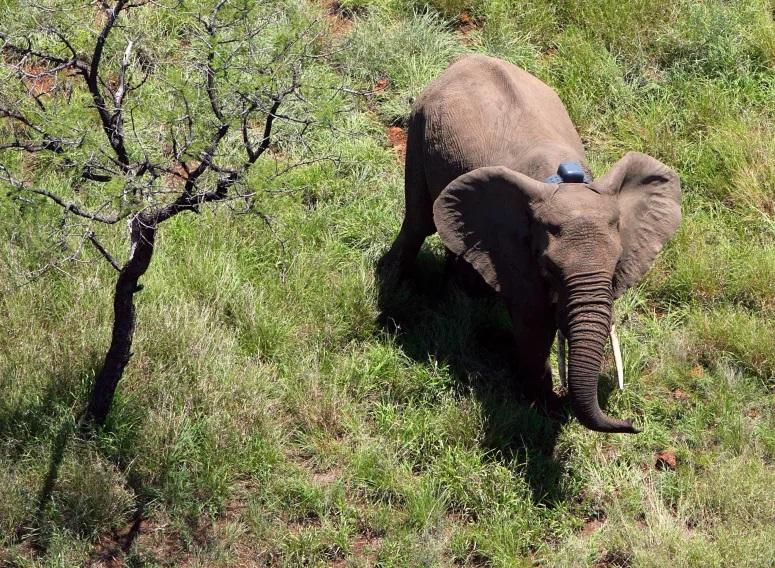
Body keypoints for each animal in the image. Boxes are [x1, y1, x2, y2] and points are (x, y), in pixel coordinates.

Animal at [383, 54, 681, 433]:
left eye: (616, 266)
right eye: (549, 268)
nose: (633, 423)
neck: (563, 184)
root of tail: (465, 59)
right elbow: (534, 319)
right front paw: (541, 405)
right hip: (420, 129)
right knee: (419, 220)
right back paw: (397, 284)